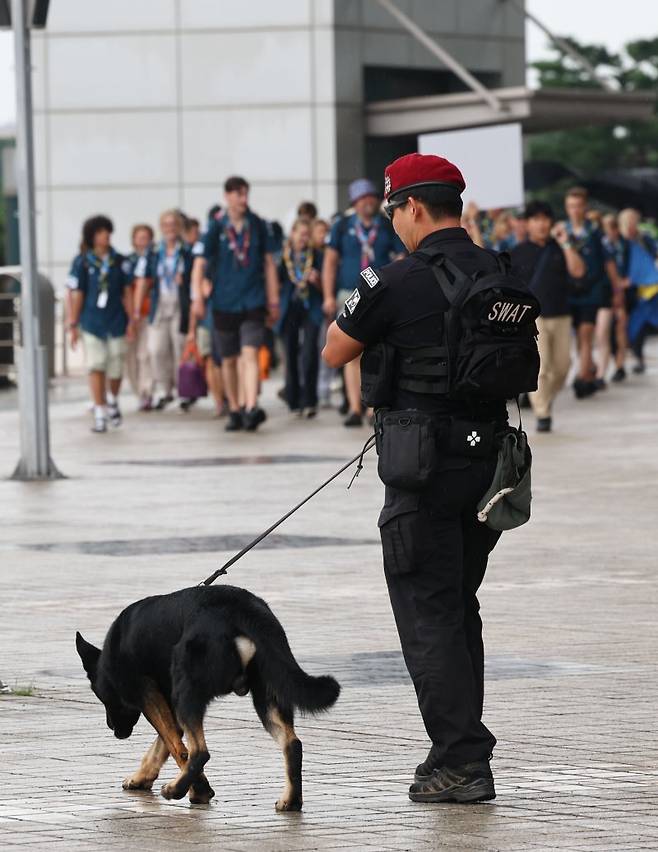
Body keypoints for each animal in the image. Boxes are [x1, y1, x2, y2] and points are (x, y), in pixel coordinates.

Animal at [75, 584, 338, 812]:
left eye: (101, 697)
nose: (115, 730)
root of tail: (241, 610)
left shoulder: (149, 693)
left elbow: (175, 745)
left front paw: (198, 790)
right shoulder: (167, 702)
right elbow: (164, 743)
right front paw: (143, 777)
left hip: (188, 690)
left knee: (201, 751)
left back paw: (176, 789)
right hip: (270, 689)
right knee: (292, 744)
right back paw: (291, 801)